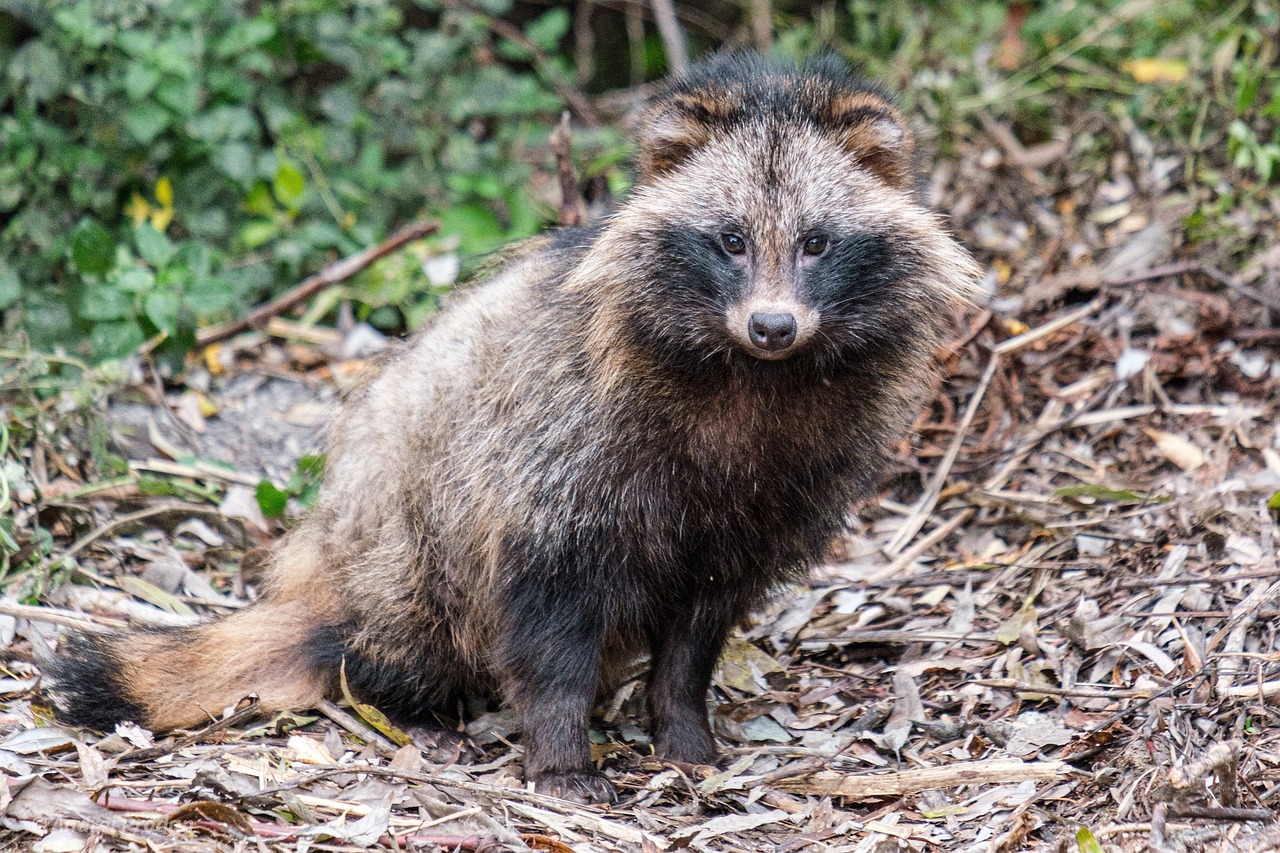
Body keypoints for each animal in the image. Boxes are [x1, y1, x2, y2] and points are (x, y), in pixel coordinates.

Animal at [47, 54, 977, 804]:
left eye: (817, 242)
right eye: (731, 240)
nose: (774, 325)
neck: (752, 376)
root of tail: (322, 579)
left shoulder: (777, 488)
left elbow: (699, 628)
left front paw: (682, 726)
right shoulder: (558, 461)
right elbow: (549, 622)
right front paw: (563, 755)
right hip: (401, 533)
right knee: (407, 623)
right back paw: (403, 703)